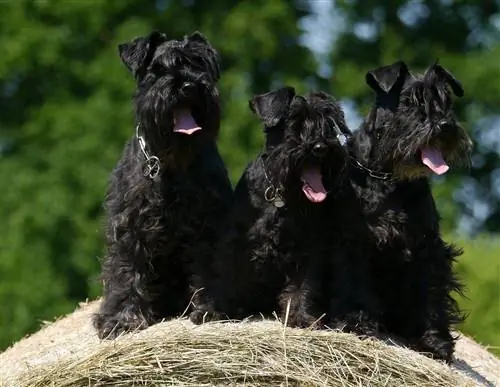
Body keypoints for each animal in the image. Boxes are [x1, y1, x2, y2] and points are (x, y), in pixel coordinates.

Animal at [93, 30, 233, 340]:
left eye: (199, 63)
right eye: (157, 70)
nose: (188, 84)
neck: (172, 164)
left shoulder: (208, 223)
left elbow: (209, 266)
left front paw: (210, 309)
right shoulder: (129, 226)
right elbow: (125, 269)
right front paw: (121, 319)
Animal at [190, 86, 376, 332]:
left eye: (329, 124)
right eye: (294, 123)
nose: (320, 147)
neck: (281, 197)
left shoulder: (307, 247)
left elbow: (302, 286)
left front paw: (300, 317)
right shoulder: (234, 242)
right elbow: (224, 277)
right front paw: (212, 311)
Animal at [348, 59, 472, 362]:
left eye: (446, 101)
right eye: (409, 102)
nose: (444, 124)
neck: (388, 178)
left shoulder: (427, 248)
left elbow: (432, 297)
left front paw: (435, 342)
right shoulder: (358, 242)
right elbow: (358, 284)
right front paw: (361, 324)